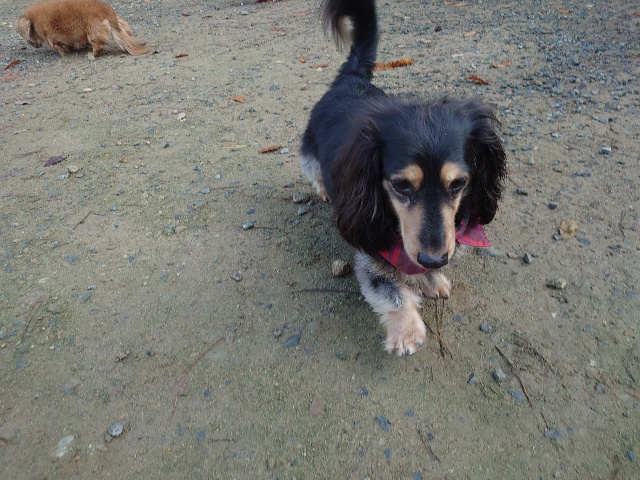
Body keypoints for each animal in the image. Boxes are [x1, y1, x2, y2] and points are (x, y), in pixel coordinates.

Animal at [17, 0, 150, 59]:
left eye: (27, 38)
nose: (35, 46)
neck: (35, 20)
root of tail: (108, 13)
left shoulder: (51, 39)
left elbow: (58, 46)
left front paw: (63, 53)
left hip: (92, 31)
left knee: (98, 47)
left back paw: (92, 55)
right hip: (120, 26)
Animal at [301, 0, 507, 356]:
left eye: (459, 184)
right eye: (401, 185)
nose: (434, 259)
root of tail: (350, 78)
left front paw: (433, 280)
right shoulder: (371, 244)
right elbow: (390, 290)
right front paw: (406, 330)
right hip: (310, 150)